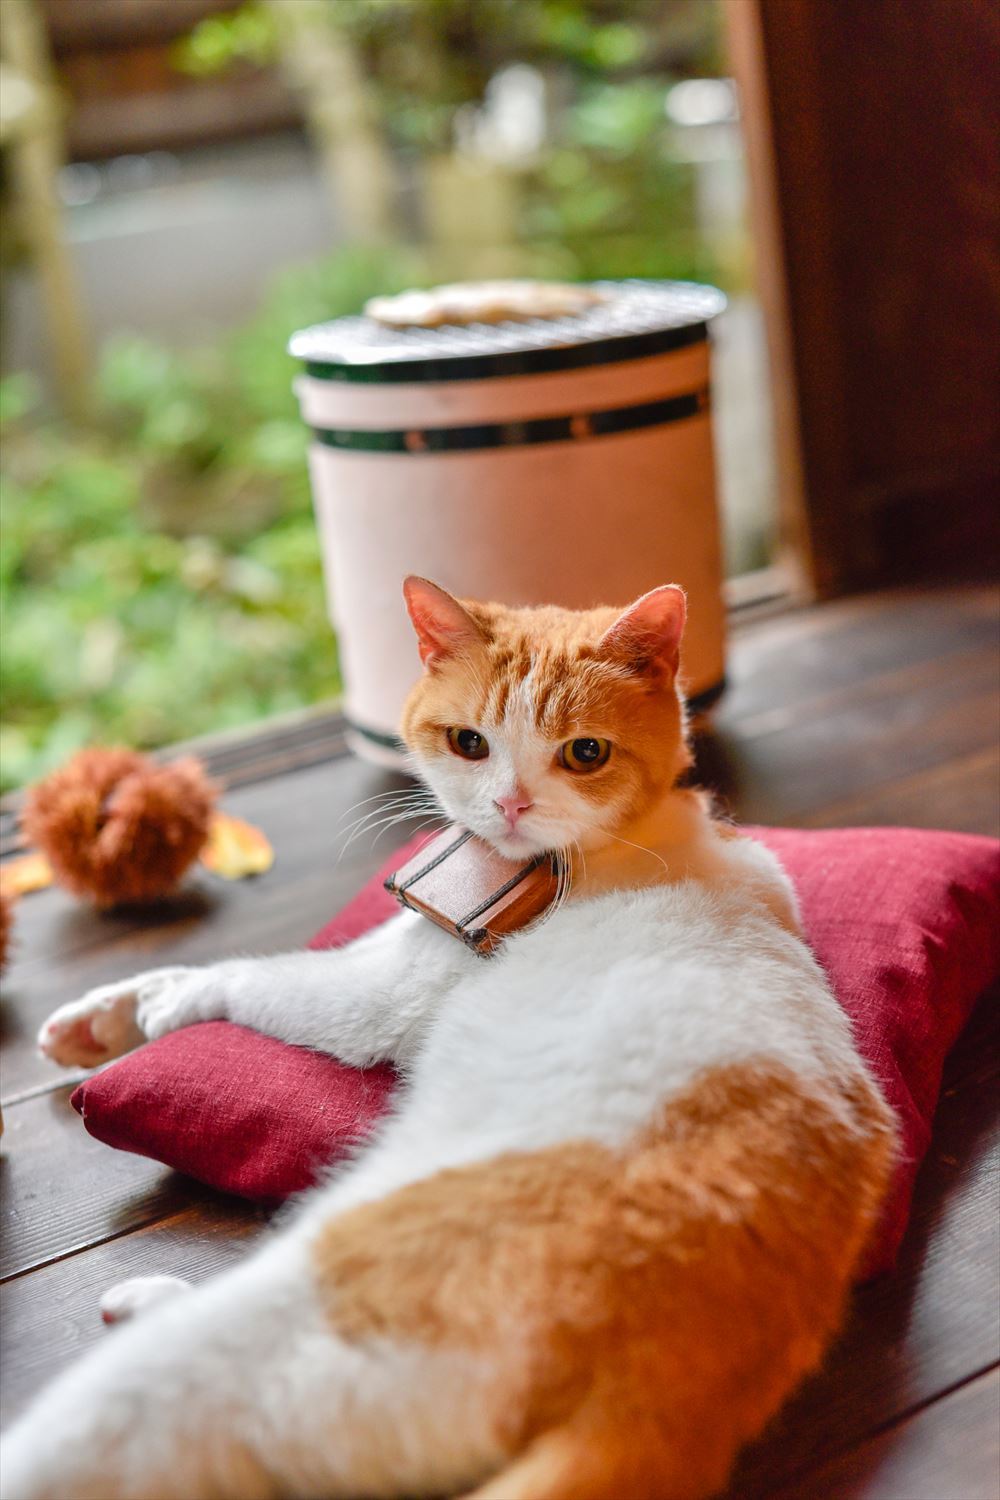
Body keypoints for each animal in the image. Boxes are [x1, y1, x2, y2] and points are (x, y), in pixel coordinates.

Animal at [3, 576, 893, 1500]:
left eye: (585, 754)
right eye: (470, 743)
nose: (509, 803)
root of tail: (669, 1388)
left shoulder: (377, 993)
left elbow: (254, 976)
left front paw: (157, 1004)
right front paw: (97, 1019)